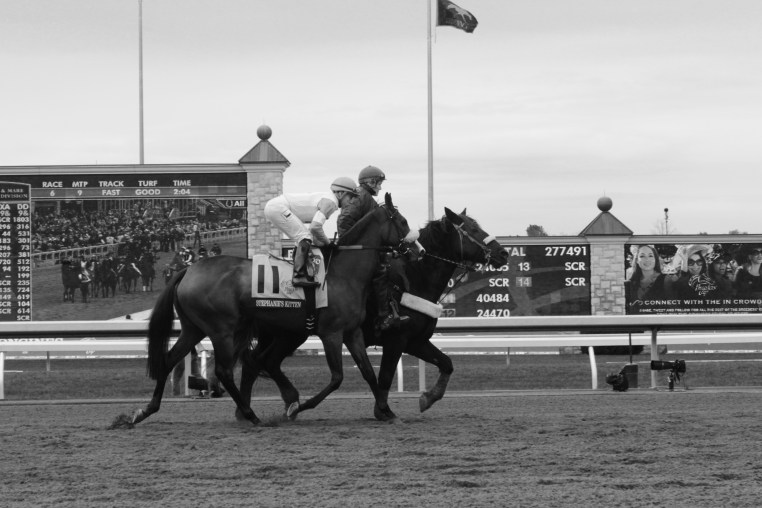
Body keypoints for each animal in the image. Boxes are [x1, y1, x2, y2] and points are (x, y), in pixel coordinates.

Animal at [131, 193, 417, 426]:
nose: (417, 250)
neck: (343, 273)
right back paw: (251, 415)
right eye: (403, 221)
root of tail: (188, 270)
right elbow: (337, 377)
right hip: (222, 329)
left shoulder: (352, 332)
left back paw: (143, 412)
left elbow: (368, 372)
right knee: (225, 370)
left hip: (194, 328)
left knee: (170, 360)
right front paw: (299, 407)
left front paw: (387, 411)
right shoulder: (331, 333)